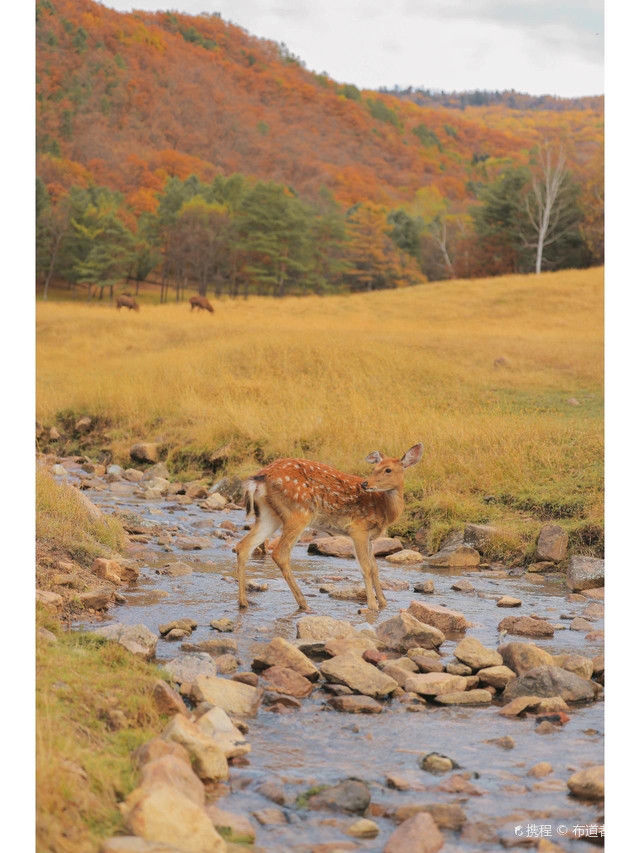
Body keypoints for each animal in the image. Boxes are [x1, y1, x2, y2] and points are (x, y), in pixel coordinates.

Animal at [238, 446, 422, 612]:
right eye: (374, 468)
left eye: (388, 469)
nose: (365, 484)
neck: (383, 507)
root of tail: (261, 477)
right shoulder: (358, 529)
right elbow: (366, 568)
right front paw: (373, 606)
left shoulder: (369, 537)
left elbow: (375, 568)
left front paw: (383, 603)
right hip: (299, 512)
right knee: (279, 553)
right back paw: (304, 604)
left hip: (269, 515)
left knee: (243, 546)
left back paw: (243, 602)